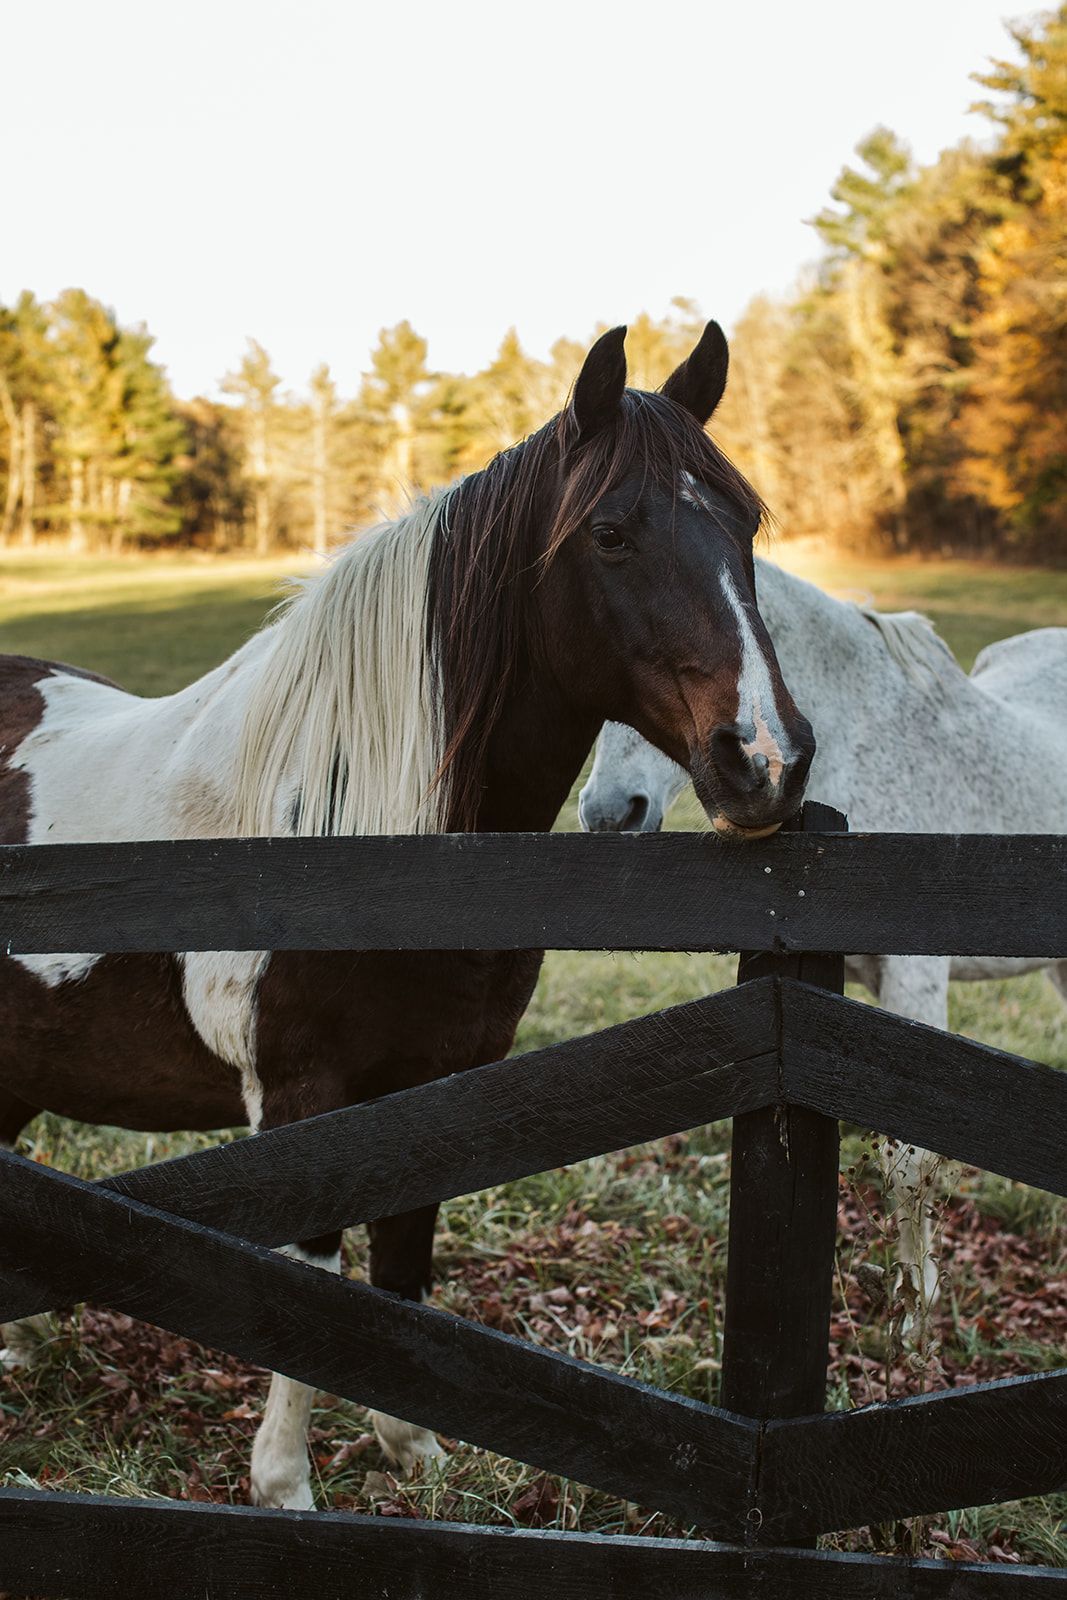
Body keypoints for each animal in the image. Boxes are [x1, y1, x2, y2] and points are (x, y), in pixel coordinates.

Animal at [0, 321, 816, 1510]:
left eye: (744, 524)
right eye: (611, 533)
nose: (765, 759)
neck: (362, 842)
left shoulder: (438, 1084)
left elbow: (404, 1256)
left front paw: (411, 1446)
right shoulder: (303, 1096)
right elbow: (316, 1273)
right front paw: (285, 1485)